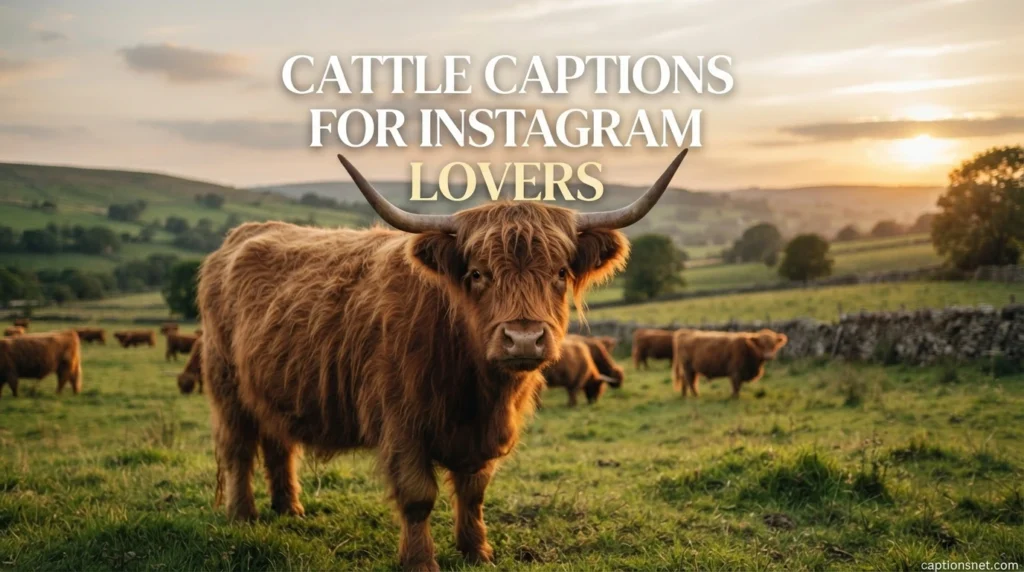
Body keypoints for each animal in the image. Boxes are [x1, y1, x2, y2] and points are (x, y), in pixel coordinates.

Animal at [198, 150, 687, 571]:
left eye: (561, 273)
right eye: (477, 274)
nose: (523, 339)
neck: (475, 387)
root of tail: (240, 235)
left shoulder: (484, 434)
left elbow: (473, 491)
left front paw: (477, 551)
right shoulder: (401, 423)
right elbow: (418, 496)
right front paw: (420, 561)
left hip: (274, 386)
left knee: (279, 443)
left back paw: (290, 509)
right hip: (226, 385)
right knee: (239, 447)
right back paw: (243, 515)